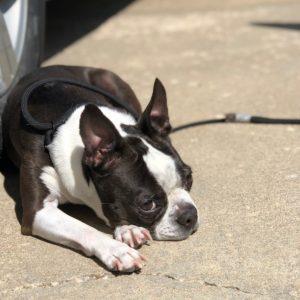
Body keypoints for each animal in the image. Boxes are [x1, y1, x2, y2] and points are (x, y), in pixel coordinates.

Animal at [2, 65, 199, 272]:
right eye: (148, 205)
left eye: (189, 178)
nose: (190, 215)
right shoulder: (38, 211)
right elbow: (82, 228)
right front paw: (117, 250)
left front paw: (127, 229)